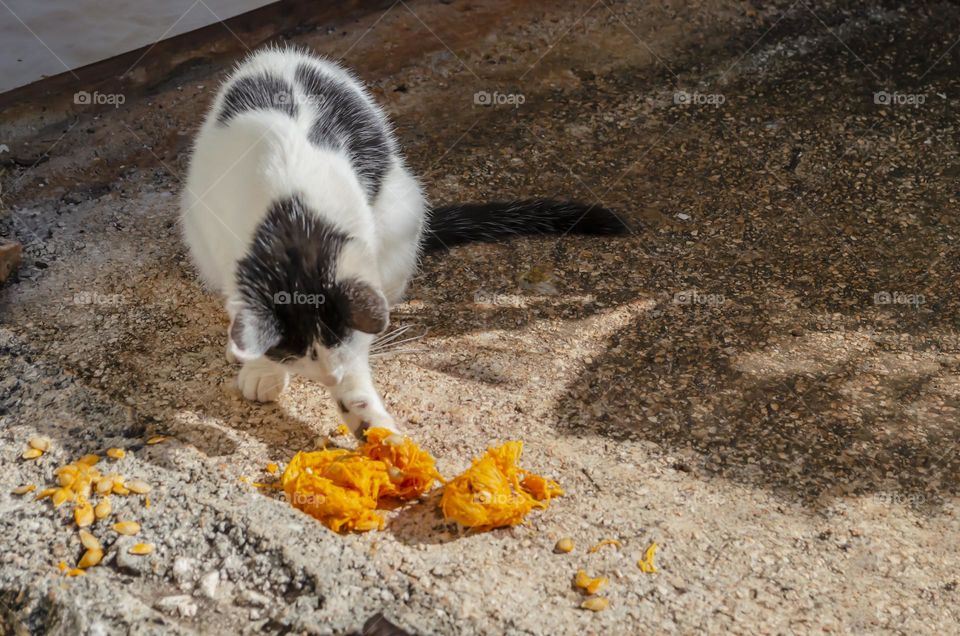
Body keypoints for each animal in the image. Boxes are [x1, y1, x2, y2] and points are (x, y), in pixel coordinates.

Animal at [183, 47, 628, 438]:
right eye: (302, 354)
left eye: (334, 347)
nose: (331, 375)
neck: (291, 214)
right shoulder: (226, 246)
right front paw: (261, 367)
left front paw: (366, 414)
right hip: (193, 223)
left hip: (403, 212)